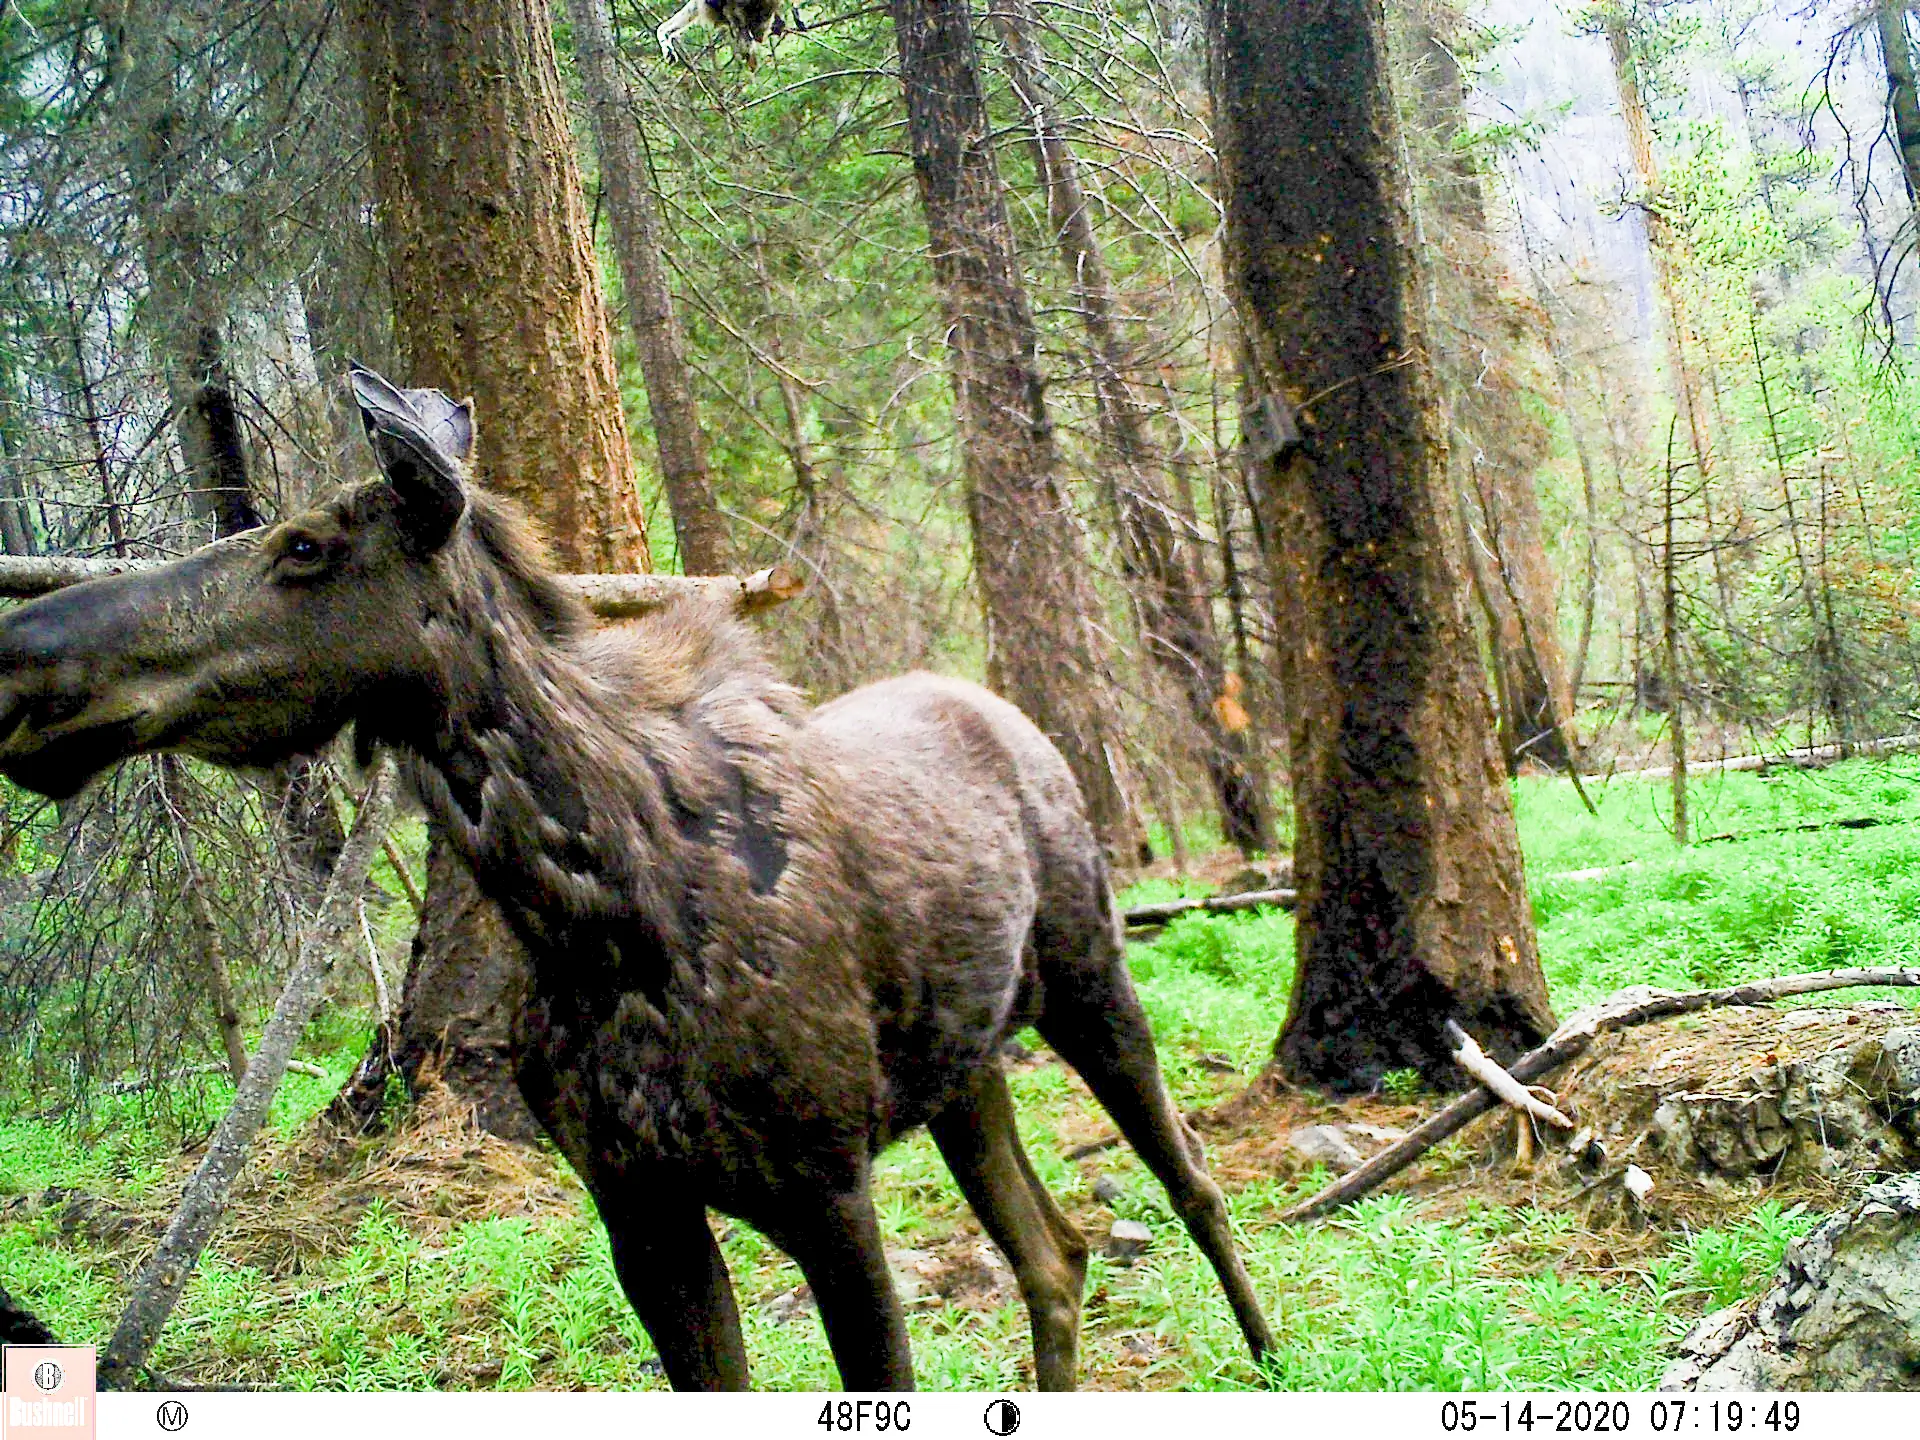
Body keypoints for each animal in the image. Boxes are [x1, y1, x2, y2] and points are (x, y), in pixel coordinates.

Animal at [0, 366, 1275, 1390]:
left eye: (305, 546)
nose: (25, 660)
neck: (594, 923)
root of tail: (1014, 714)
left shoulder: (826, 1190)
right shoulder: (639, 1212)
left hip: (1091, 977)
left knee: (1194, 1181)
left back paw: (1270, 1359)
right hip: (964, 1070)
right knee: (1054, 1255)